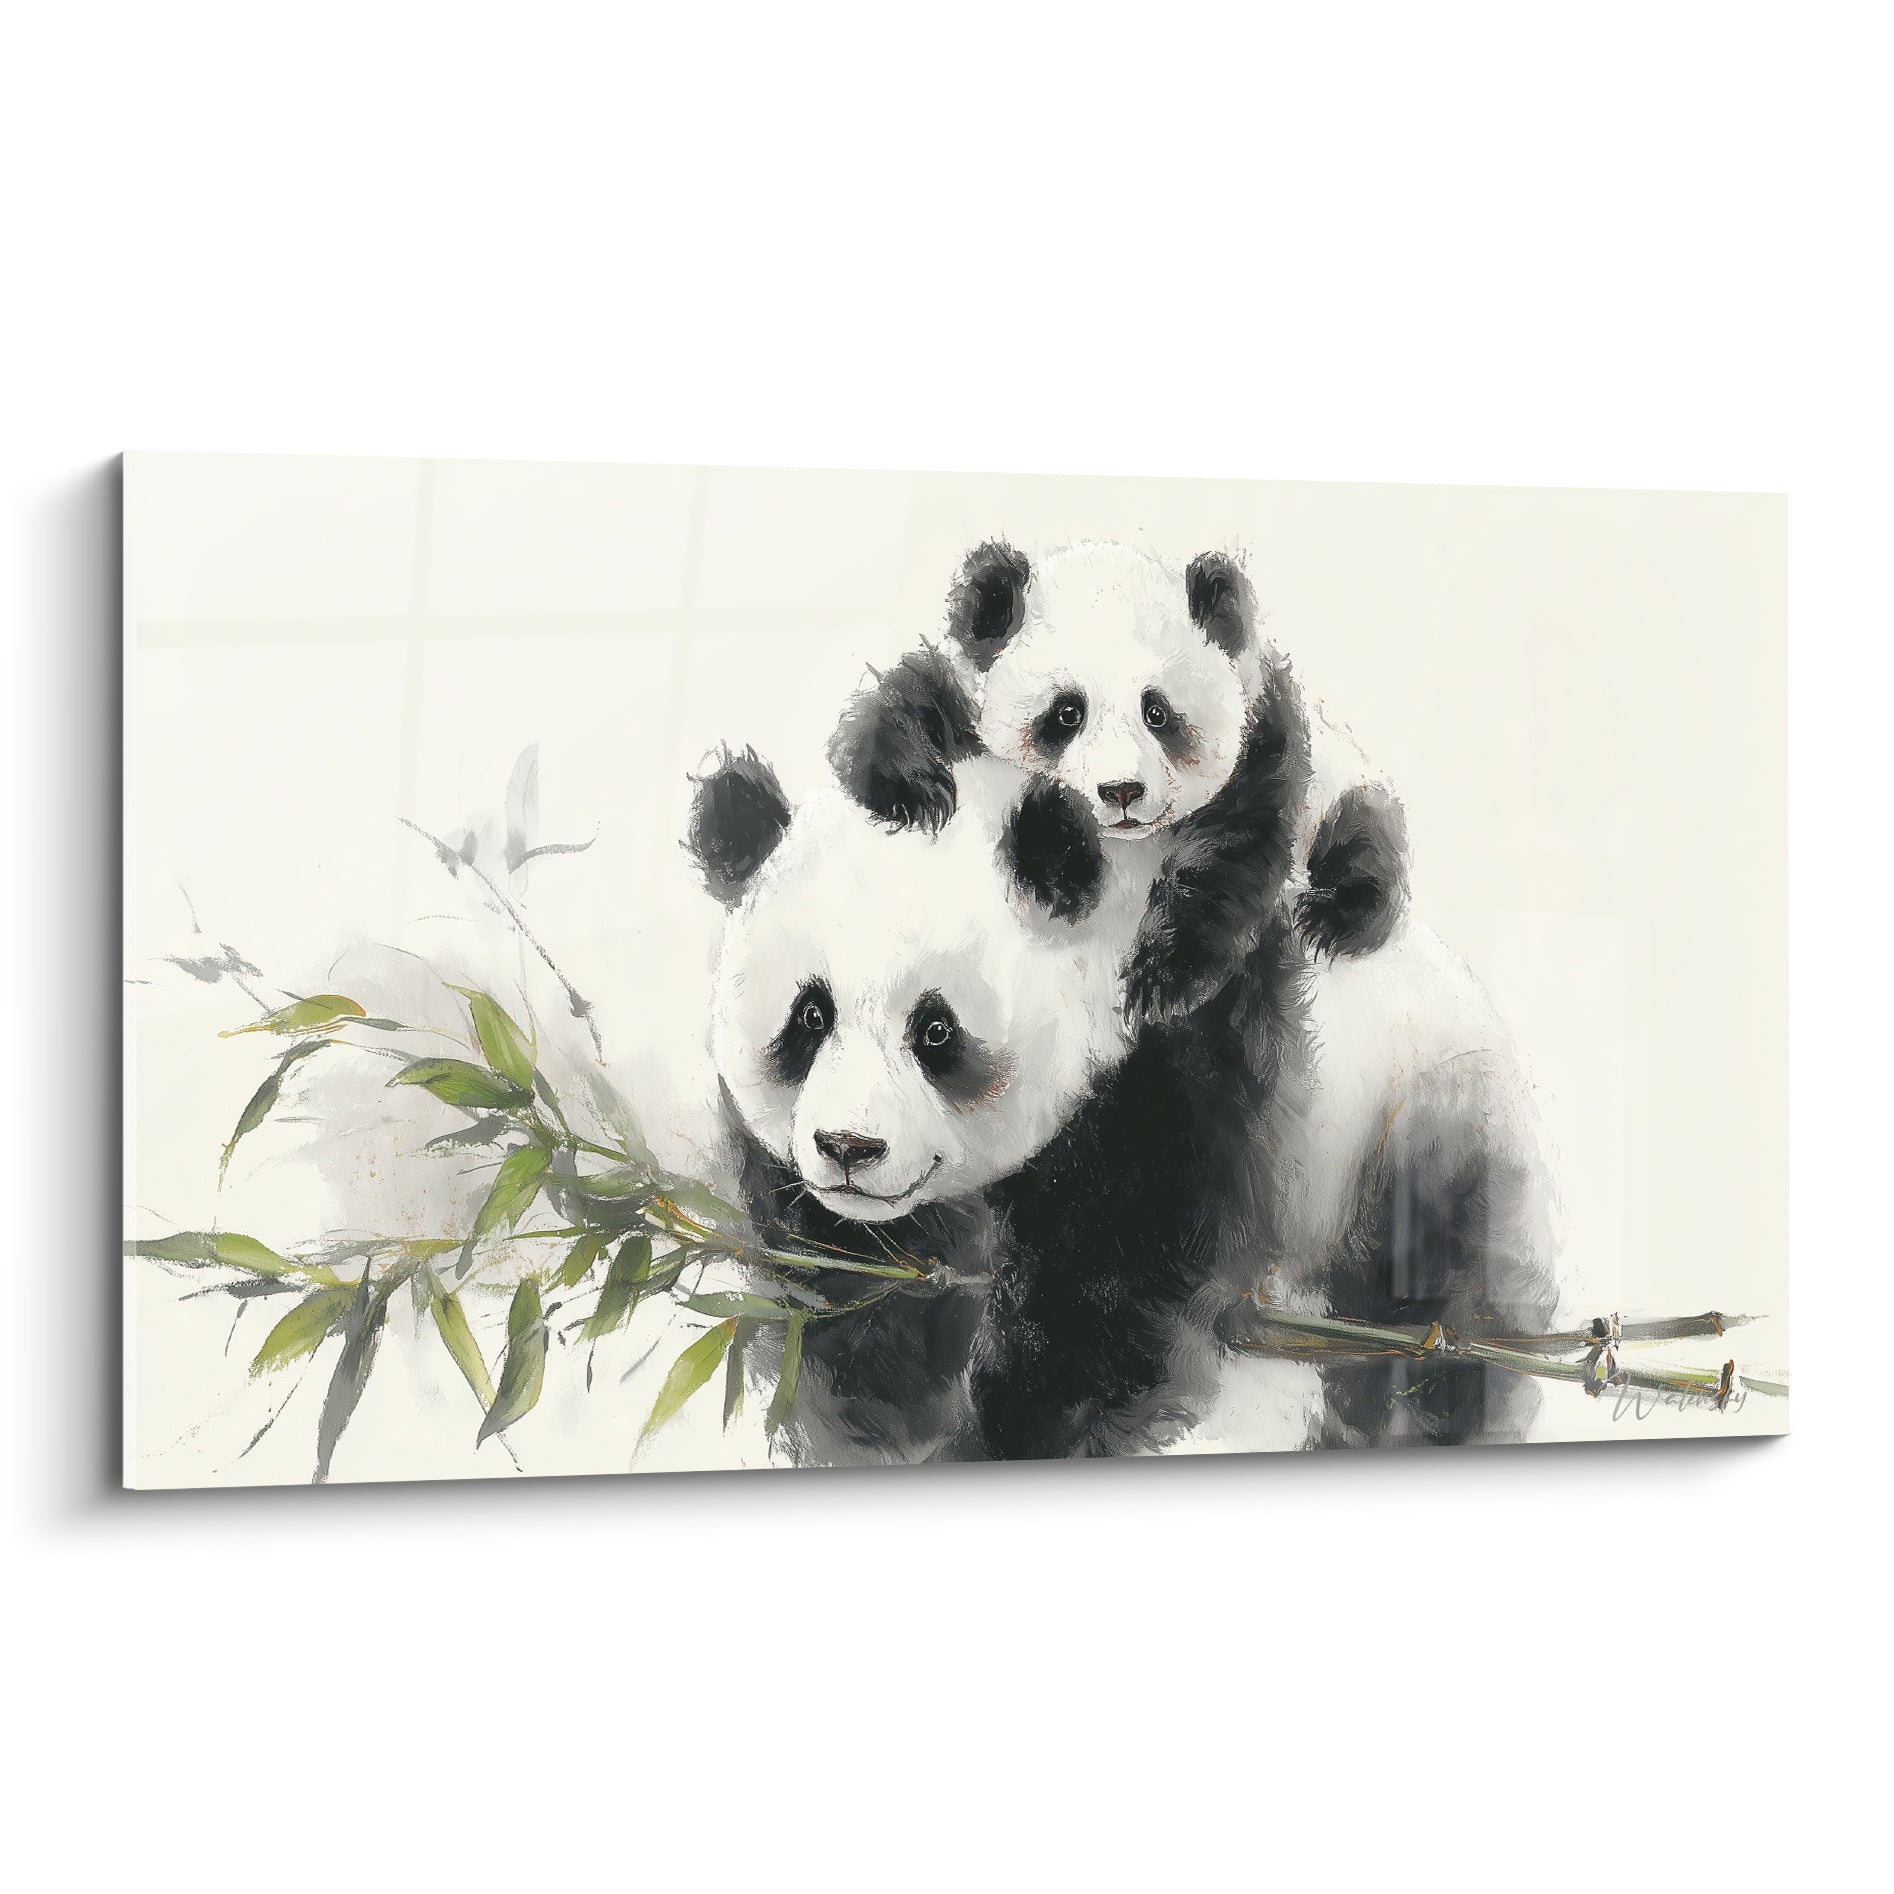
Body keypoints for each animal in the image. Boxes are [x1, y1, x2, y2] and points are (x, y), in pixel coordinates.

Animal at [688, 746, 1561, 1462]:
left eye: (935, 1030)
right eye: (810, 1016)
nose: (849, 1148)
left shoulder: (1191, 1059)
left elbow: (1116, 1291)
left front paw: (1010, 1428)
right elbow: (838, 1293)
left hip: (1413, 1125)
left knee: (1438, 1301)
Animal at [827, 537, 1412, 1029]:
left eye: (1157, 713)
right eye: (1067, 713)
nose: (1121, 791)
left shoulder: (1266, 743)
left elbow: (1228, 852)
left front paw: (1161, 982)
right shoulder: (969, 685)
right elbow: (909, 696)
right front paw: (917, 792)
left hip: (1341, 785)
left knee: (1362, 837)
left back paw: (1332, 917)